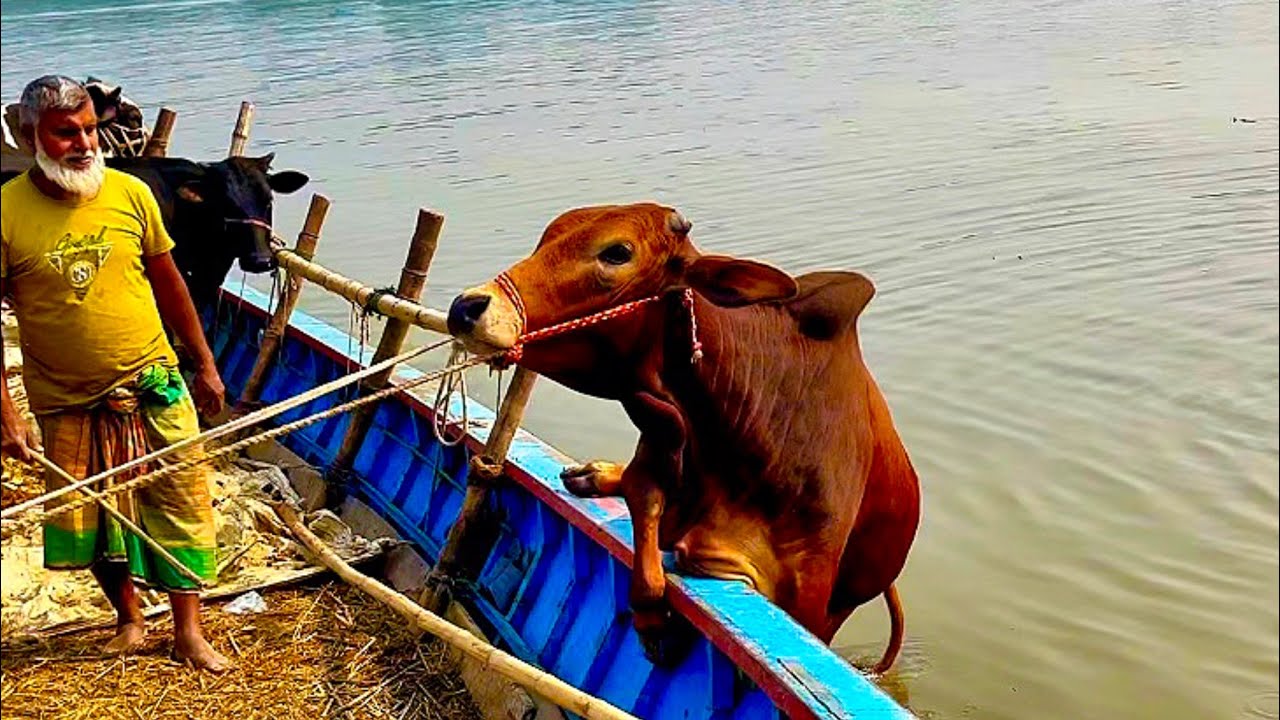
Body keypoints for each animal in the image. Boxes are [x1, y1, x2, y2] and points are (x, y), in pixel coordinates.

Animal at [445, 203, 922, 673]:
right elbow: (643, 512)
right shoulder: (655, 450)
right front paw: (652, 620)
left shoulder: (806, 595)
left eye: (617, 253)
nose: (467, 307)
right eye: (547, 236)